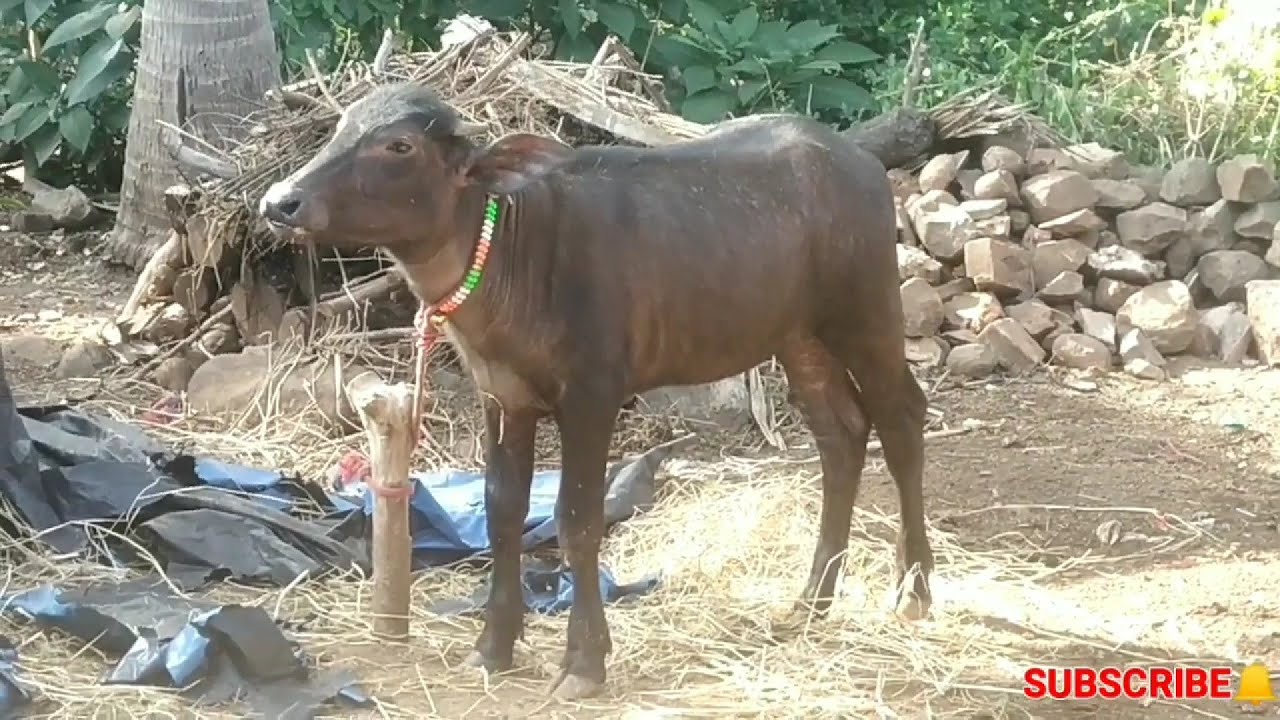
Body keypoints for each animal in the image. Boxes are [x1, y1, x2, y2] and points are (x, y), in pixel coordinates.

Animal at [259, 81, 934, 700]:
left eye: (398, 145)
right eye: (341, 126)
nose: (280, 201)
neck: (513, 253)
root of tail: (860, 162)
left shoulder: (592, 396)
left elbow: (577, 518)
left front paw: (584, 662)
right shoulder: (501, 397)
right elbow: (503, 509)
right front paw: (493, 646)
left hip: (866, 311)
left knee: (902, 416)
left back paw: (914, 593)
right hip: (798, 336)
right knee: (841, 433)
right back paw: (811, 602)